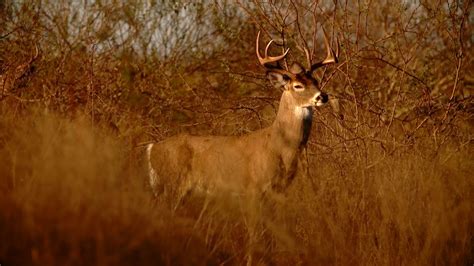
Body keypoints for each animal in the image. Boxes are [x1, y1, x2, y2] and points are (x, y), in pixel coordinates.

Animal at [146, 29, 338, 204]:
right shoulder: (253, 188)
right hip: (173, 186)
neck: (280, 147)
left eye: (316, 81)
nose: (323, 96)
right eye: (298, 86)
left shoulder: (278, 191)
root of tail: (152, 149)